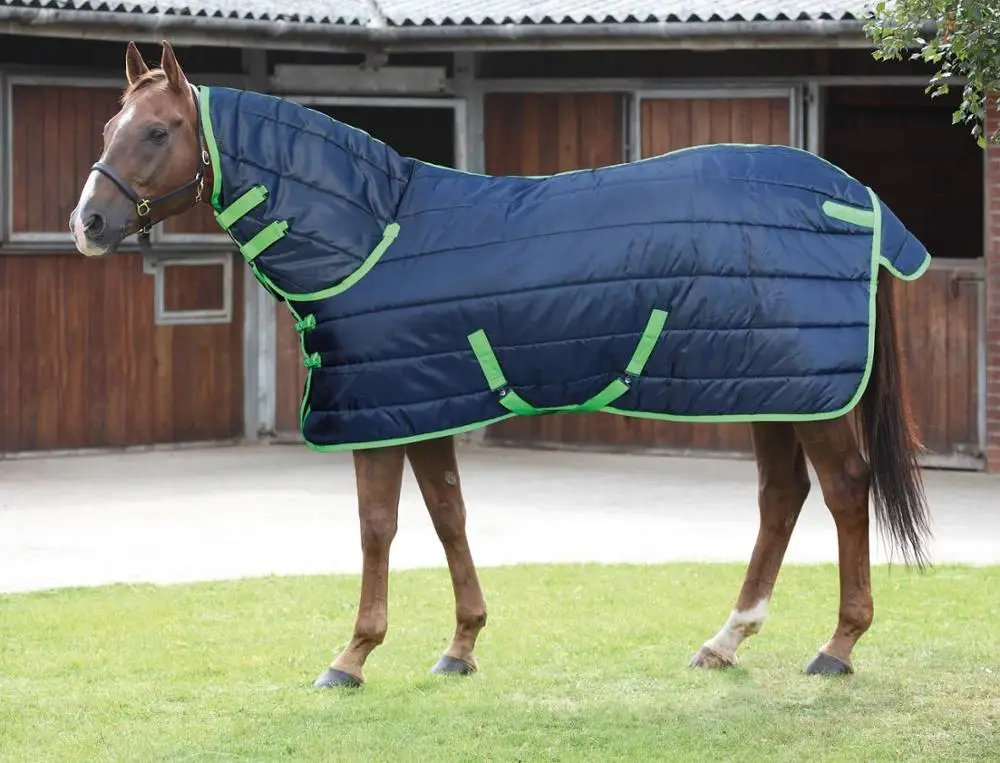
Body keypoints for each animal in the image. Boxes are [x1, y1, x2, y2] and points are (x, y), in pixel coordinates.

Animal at [68, 40, 932, 689]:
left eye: (156, 131)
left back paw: (838, 646)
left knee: (844, 488)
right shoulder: (419, 403)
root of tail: (859, 198)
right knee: (782, 495)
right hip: (766, 385)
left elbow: (377, 527)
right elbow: (447, 514)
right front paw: (460, 646)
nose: (88, 223)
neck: (370, 232)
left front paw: (352, 656)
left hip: (804, 393)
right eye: (110, 122)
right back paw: (725, 640)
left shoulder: (378, 412)